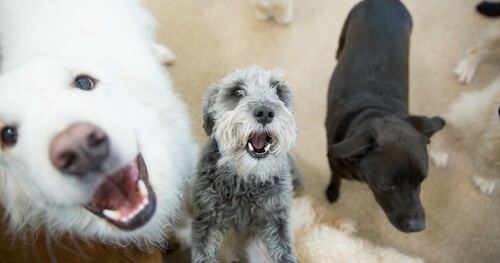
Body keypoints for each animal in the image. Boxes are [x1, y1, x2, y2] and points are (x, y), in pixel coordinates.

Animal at [191, 66, 300, 263]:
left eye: (278, 90)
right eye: (238, 92)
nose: (265, 112)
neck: (246, 179)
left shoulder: (276, 218)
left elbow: (284, 251)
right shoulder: (207, 219)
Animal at [326, 0, 444, 233]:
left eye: (421, 181)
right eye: (388, 185)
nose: (418, 226)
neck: (373, 109)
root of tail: (386, 1)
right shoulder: (333, 162)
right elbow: (335, 177)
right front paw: (332, 192)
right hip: (346, 26)